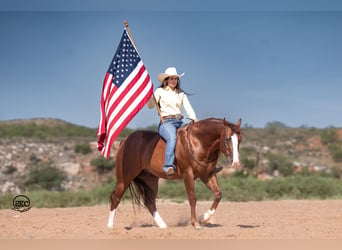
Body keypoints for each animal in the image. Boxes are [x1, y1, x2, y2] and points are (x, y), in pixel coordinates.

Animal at [107, 117, 243, 229]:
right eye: (227, 139)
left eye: (240, 140)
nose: (235, 163)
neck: (197, 141)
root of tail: (125, 140)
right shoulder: (188, 174)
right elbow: (192, 198)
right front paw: (195, 223)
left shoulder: (207, 175)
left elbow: (218, 194)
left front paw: (204, 218)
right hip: (124, 178)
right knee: (115, 197)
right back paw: (110, 226)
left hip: (150, 179)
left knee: (149, 202)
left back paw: (163, 226)